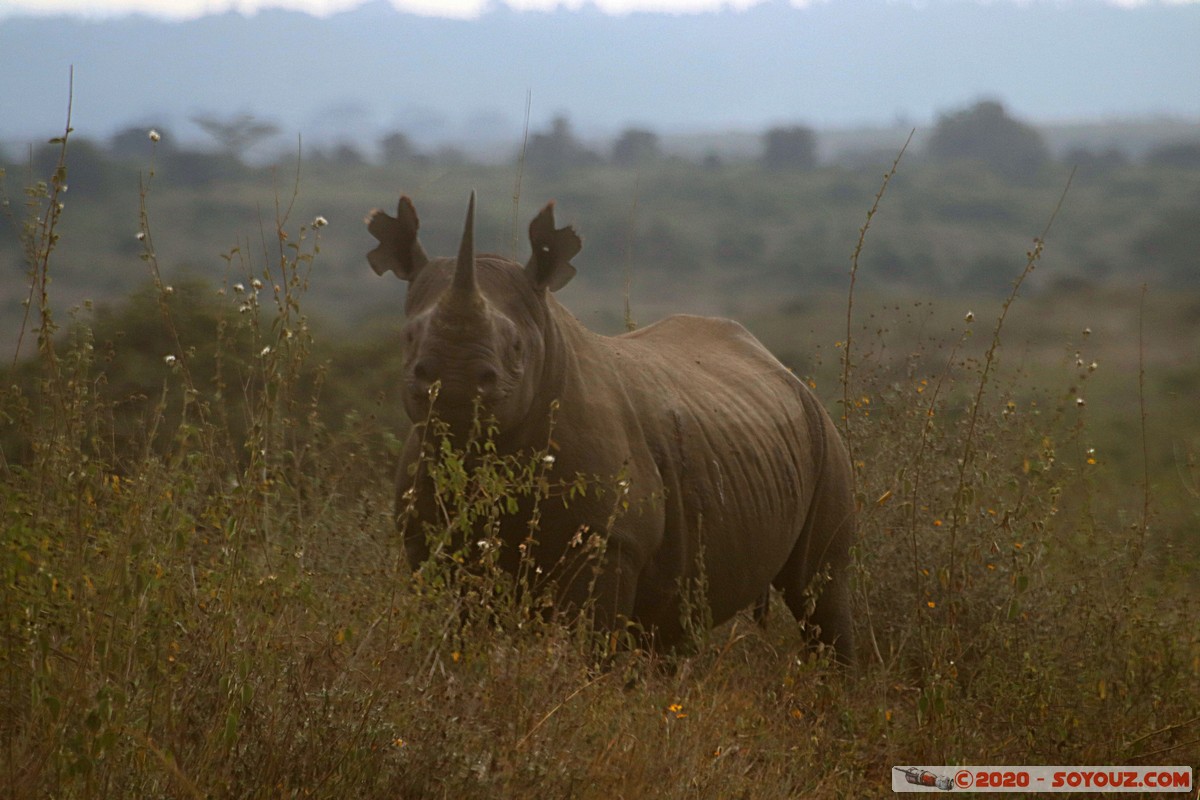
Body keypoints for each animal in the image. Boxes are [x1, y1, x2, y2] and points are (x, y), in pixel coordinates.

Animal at [367, 191, 856, 662]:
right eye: (408, 337)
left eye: (516, 346)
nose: (453, 382)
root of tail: (781, 367)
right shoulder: (426, 537)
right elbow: (457, 630)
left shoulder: (609, 541)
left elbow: (588, 641)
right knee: (674, 622)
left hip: (822, 432)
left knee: (819, 591)